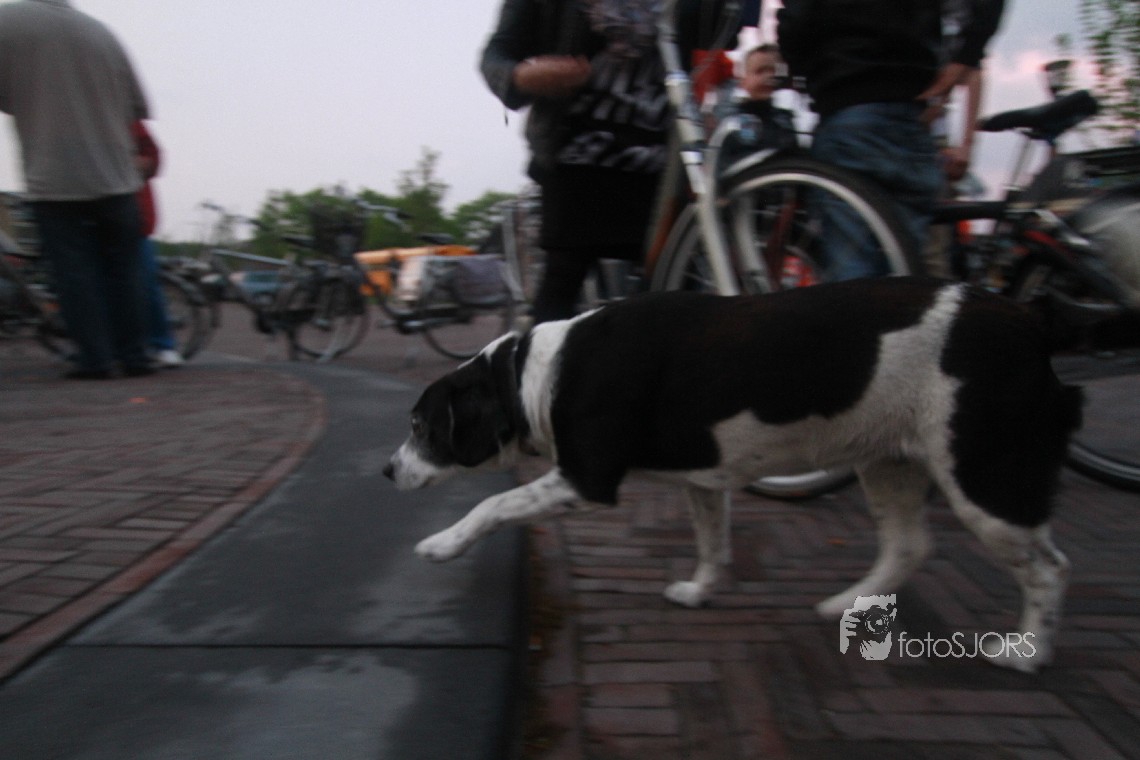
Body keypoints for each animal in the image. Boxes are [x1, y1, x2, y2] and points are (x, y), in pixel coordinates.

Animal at [385, 277, 1082, 672]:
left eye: (421, 426)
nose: (387, 469)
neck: (533, 372)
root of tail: (1034, 319)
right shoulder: (704, 478)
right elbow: (711, 542)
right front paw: (699, 592)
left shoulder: (585, 479)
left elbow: (489, 507)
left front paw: (441, 544)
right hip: (888, 463)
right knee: (909, 545)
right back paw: (846, 605)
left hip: (983, 477)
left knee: (1050, 567)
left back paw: (1028, 654)